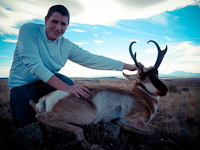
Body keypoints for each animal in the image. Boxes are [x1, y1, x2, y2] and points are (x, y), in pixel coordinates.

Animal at [29, 40, 167, 149]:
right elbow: (153, 130)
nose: (164, 90)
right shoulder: (132, 119)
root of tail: (48, 97)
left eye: (157, 73)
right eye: (143, 77)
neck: (143, 99)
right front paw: (118, 122)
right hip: (85, 116)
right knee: (43, 117)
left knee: (34, 107)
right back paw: (90, 145)